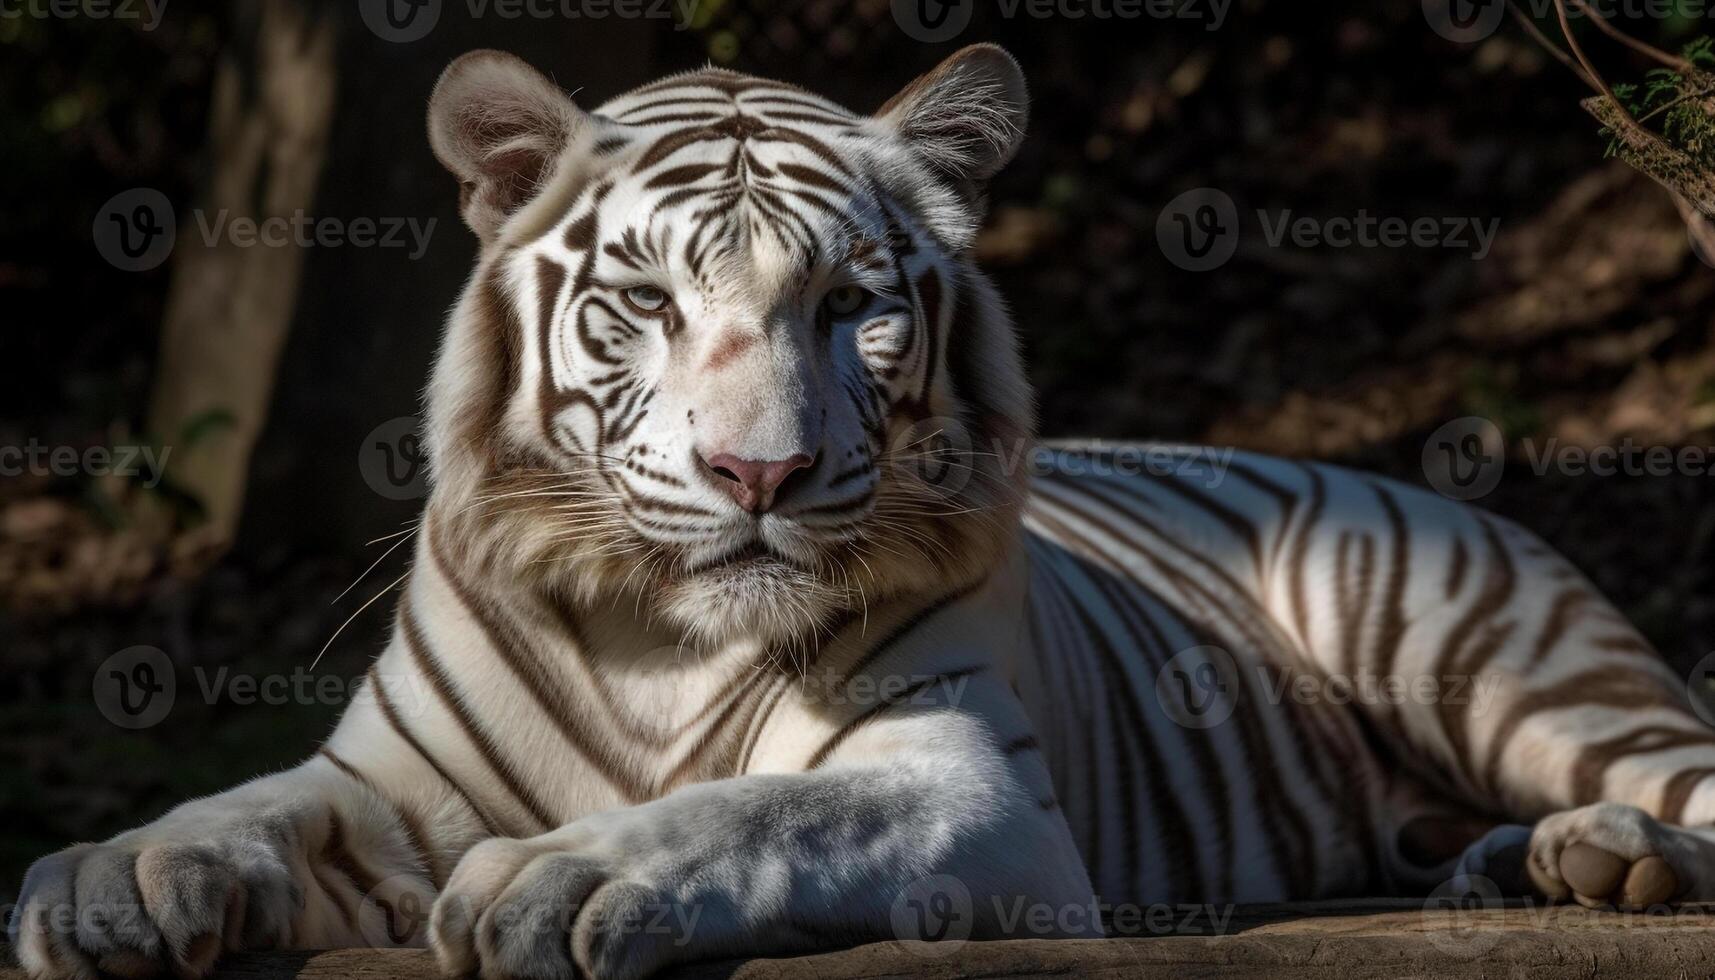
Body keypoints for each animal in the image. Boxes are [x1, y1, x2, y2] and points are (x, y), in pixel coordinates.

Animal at [13, 44, 1715, 980]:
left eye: (846, 304)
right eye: (645, 301)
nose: (756, 476)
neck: (653, 640)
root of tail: (1376, 473)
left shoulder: (973, 790)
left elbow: (760, 812)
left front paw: (571, 876)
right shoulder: (395, 789)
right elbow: (246, 808)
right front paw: (109, 882)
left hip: (1495, 664)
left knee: (1680, 781)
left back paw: (1602, 860)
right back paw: (1509, 868)